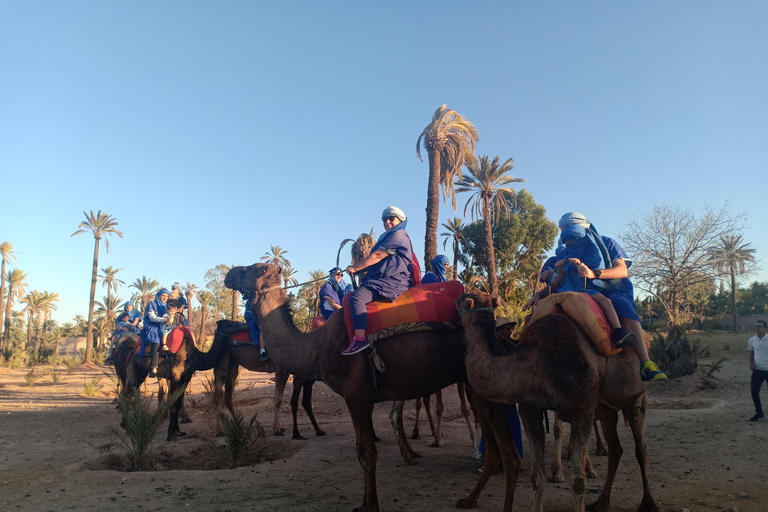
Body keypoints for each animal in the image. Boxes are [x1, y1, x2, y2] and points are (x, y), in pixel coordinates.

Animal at [224, 264, 510, 512]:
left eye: (257, 269)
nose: (230, 273)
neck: (316, 346)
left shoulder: (355, 396)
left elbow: (366, 452)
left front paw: (369, 505)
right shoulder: (366, 398)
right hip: (475, 387)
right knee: (494, 447)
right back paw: (470, 499)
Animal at [456, 292, 660, 512]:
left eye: (465, 298)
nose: (457, 297)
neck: (537, 362)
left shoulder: (583, 410)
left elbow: (578, 480)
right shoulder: (530, 409)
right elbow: (537, 475)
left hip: (636, 397)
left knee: (641, 447)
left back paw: (649, 503)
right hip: (607, 410)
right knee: (616, 449)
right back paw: (601, 501)